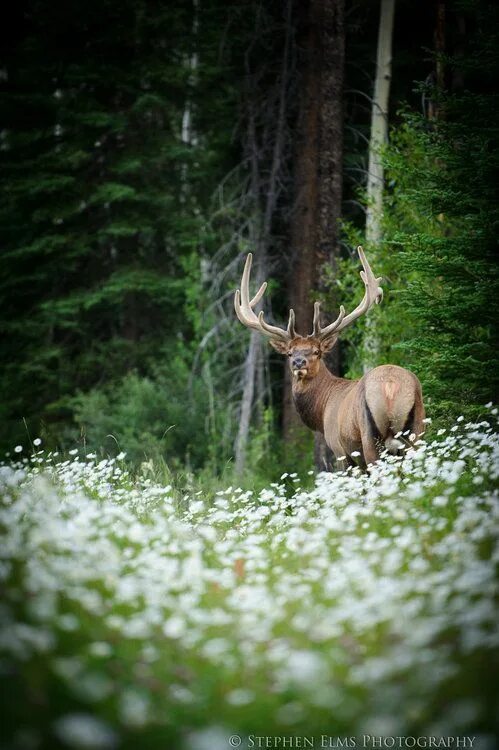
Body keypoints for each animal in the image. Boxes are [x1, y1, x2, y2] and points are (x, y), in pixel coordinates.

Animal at [234, 250, 426, 468]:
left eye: (317, 351)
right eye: (290, 353)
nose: (298, 362)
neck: (322, 409)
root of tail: (390, 386)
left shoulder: (339, 448)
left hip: (369, 437)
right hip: (417, 430)